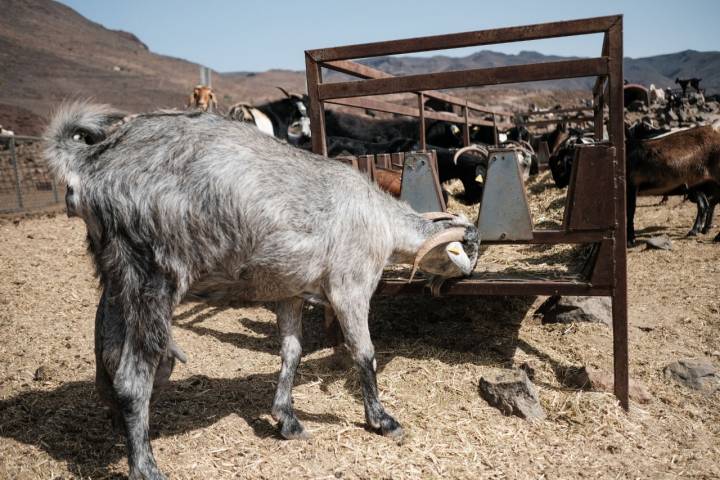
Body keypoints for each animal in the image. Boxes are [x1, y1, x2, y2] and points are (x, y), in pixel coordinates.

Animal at [46, 102, 484, 480]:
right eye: (468, 246)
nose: (470, 270)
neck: (381, 221)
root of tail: (88, 162)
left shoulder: (289, 291)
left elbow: (292, 351)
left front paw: (286, 419)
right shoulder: (350, 286)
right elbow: (364, 353)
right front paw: (382, 420)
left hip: (114, 275)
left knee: (107, 358)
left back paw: (119, 427)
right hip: (152, 276)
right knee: (131, 378)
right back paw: (146, 466)